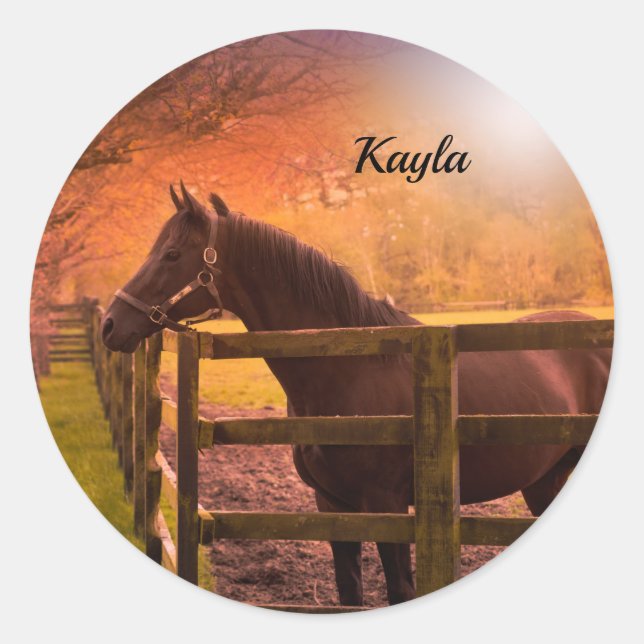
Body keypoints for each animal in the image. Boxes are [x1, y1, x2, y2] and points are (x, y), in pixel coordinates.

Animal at [101, 183, 612, 605]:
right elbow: (349, 591)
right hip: (544, 480)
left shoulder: (386, 505)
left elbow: (400, 589)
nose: (110, 324)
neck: (349, 365)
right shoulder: (333, 504)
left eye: (171, 254)